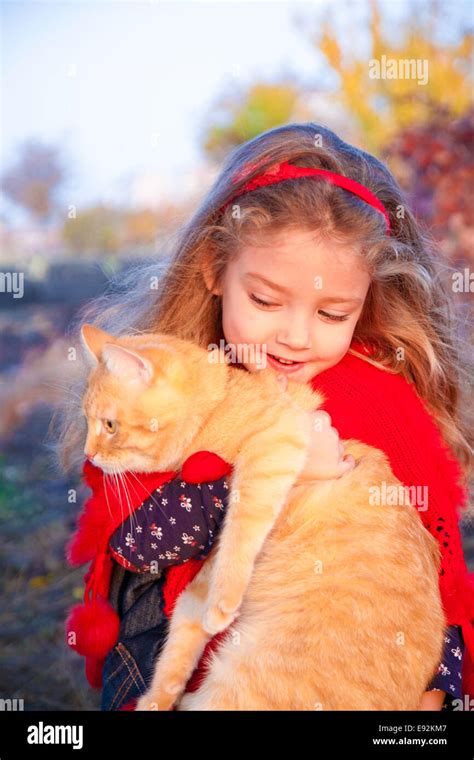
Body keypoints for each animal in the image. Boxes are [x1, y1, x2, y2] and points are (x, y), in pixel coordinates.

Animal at [79, 324, 446, 708]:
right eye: (87, 422)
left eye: (109, 425)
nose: (89, 455)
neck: (217, 407)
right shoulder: (201, 581)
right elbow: (178, 646)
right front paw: (154, 700)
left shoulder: (277, 438)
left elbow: (242, 527)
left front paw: (223, 603)